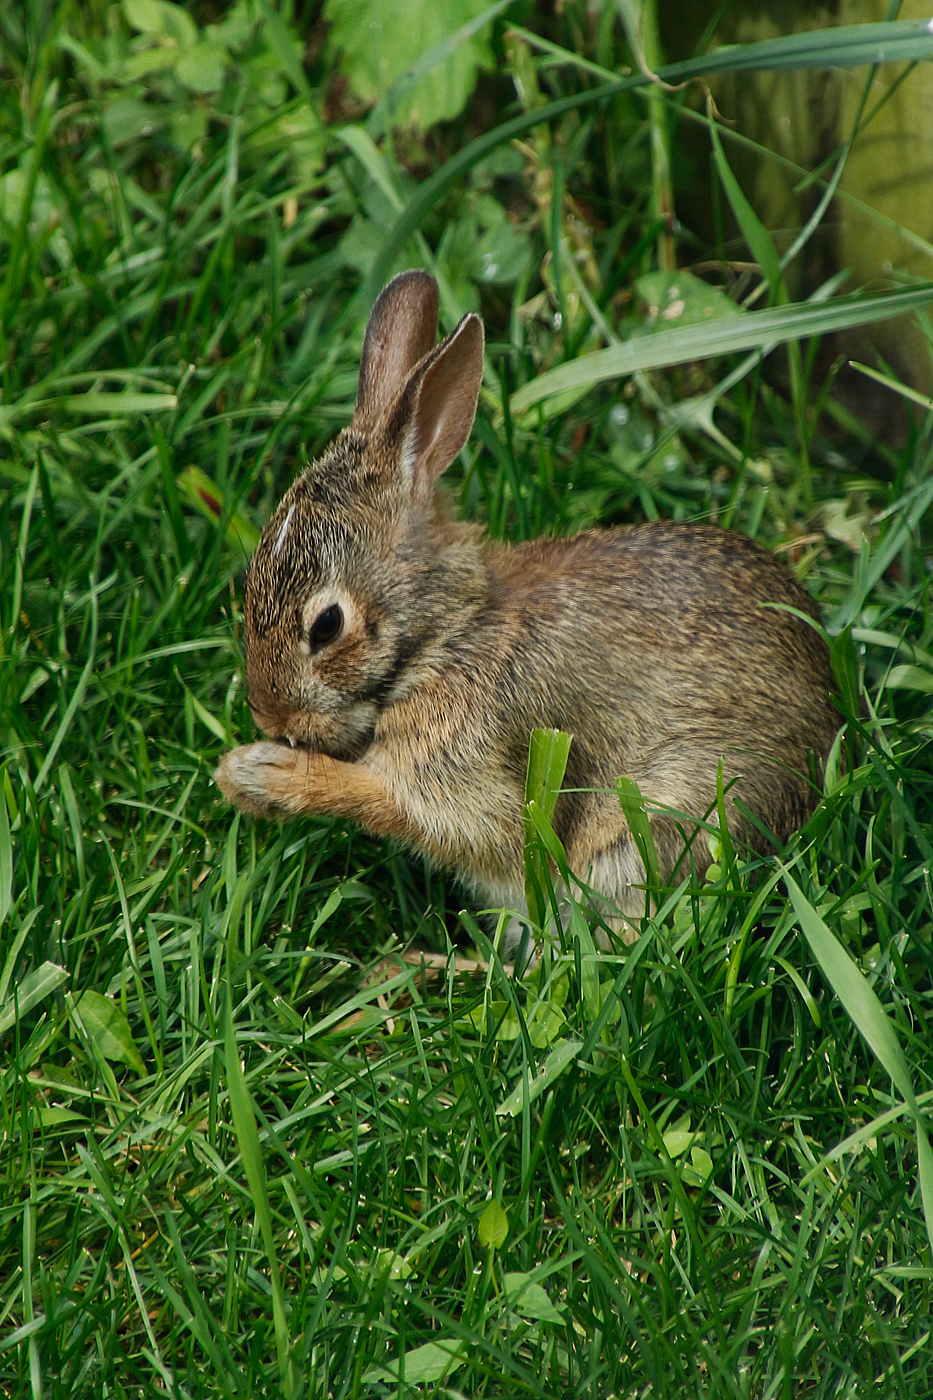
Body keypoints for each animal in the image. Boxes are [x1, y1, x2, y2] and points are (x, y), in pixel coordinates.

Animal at [215, 269, 839, 952]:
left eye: (326, 625)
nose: (269, 716)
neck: (450, 635)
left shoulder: (473, 767)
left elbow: (428, 814)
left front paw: (257, 775)